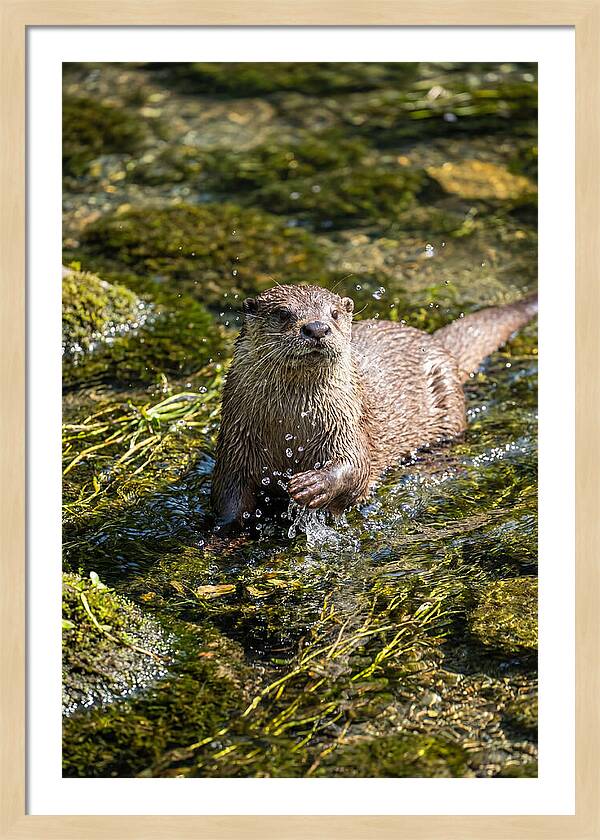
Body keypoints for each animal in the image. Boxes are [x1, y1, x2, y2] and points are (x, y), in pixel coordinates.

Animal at [211, 284, 537, 529]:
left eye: (334, 313)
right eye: (282, 313)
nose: (317, 328)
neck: (291, 427)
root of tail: (436, 343)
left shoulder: (347, 424)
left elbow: (357, 467)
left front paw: (313, 485)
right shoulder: (235, 444)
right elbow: (228, 498)